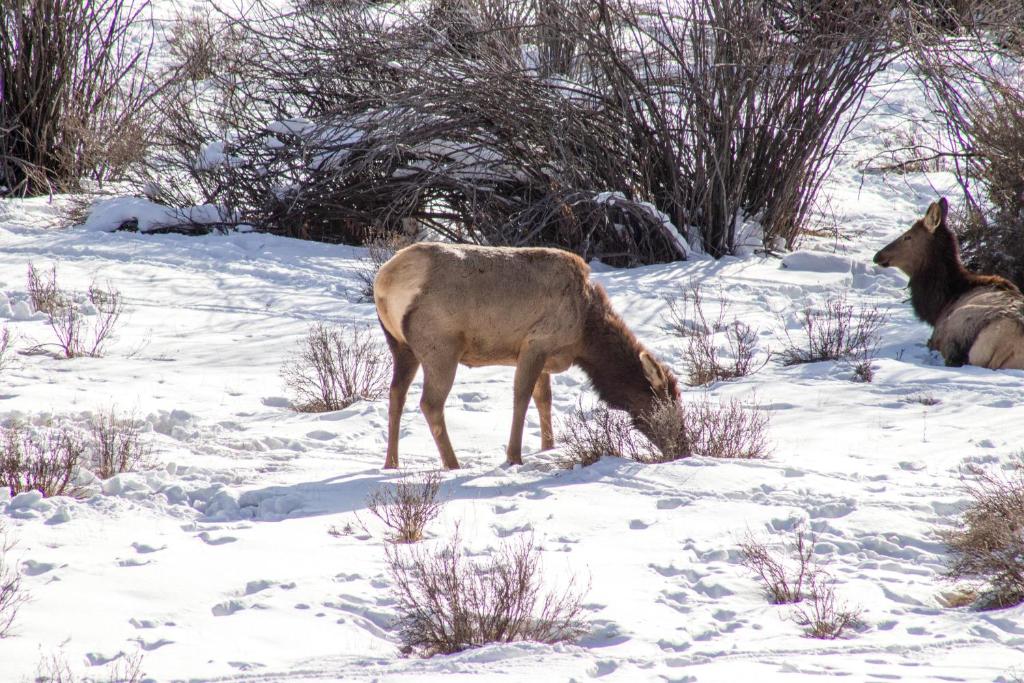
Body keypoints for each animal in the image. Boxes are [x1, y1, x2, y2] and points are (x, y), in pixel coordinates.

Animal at [374, 242, 679, 473]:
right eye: (662, 406)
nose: (680, 446)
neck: (585, 336)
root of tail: (383, 282)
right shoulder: (536, 343)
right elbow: (521, 397)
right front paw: (514, 457)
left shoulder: (542, 356)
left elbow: (543, 399)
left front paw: (548, 447)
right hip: (441, 346)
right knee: (430, 404)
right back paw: (453, 464)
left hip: (400, 346)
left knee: (396, 394)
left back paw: (391, 463)